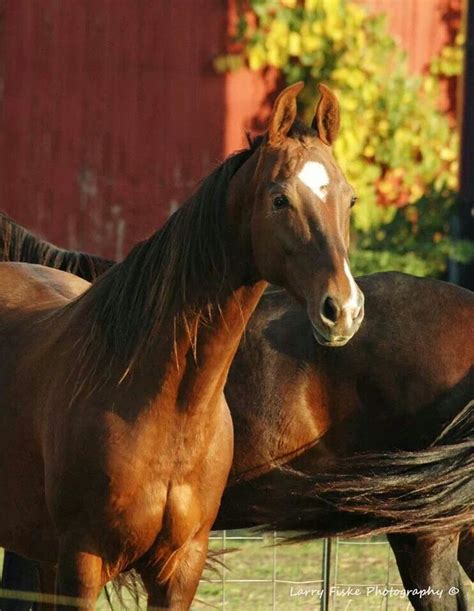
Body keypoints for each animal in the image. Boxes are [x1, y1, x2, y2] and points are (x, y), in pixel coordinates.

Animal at [0, 83, 364, 608]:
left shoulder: (180, 566)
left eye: (349, 200)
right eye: (279, 199)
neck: (166, 407)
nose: (344, 308)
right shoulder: (83, 564)